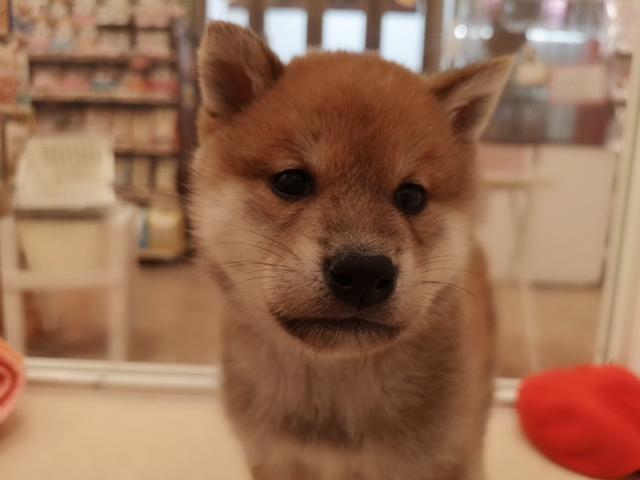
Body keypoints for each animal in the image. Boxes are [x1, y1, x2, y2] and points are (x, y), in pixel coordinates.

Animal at [191, 21, 511, 480]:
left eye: (411, 197)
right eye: (291, 181)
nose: (363, 271)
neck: (334, 389)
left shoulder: (437, 460)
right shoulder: (274, 459)